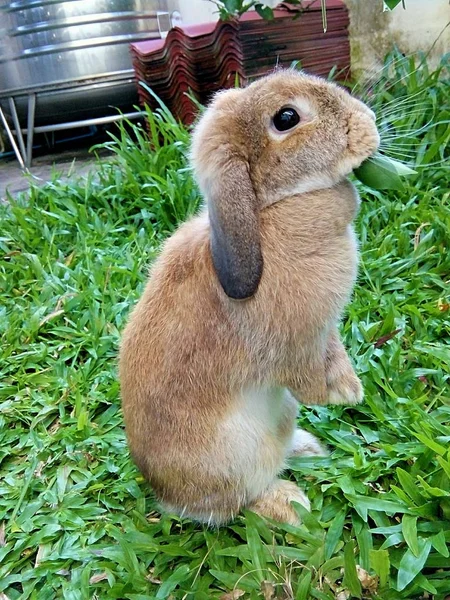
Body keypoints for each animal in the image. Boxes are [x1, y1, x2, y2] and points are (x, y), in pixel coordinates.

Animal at [119, 68, 380, 524]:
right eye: (286, 118)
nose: (369, 123)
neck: (267, 210)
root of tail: (166, 496)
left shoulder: (325, 330)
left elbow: (334, 351)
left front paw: (350, 388)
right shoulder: (296, 342)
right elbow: (305, 375)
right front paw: (334, 396)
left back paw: (307, 448)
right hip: (235, 455)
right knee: (237, 501)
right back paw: (288, 504)